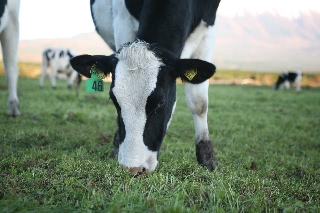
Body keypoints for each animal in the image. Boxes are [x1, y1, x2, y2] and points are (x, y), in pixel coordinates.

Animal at [70, 0, 220, 176]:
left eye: (160, 103)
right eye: (114, 101)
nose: (133, 169)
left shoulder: (207, 29)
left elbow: (199, 104)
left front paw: (207, 159)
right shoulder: (123, 21)